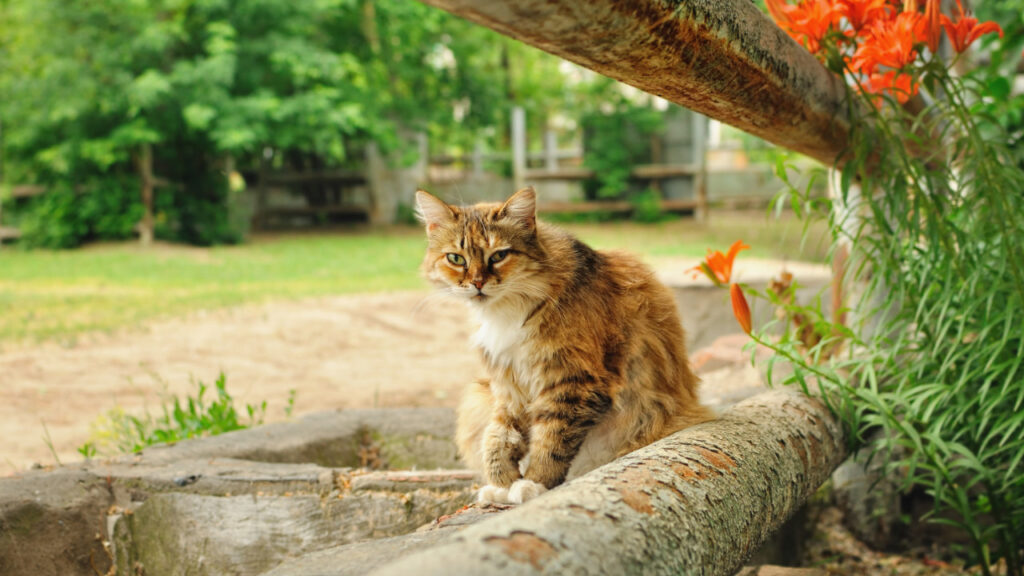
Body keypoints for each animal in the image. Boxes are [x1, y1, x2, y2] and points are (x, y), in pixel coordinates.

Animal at [415, 186, 712, 500]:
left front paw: (534, 483)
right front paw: (502, 484)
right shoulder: (508, 385)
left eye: (499, 256)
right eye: (456, 259)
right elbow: (498, 437)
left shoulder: (573, 381)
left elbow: (551, 440)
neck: (507, 310)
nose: (477, 284)